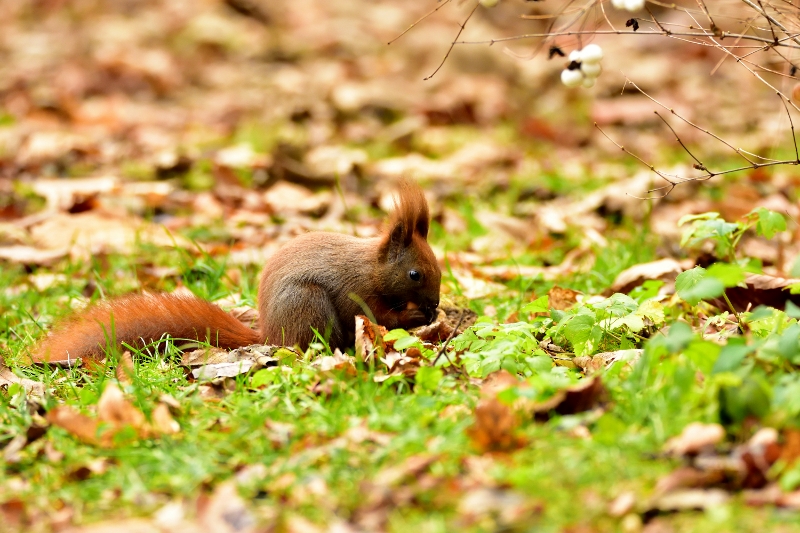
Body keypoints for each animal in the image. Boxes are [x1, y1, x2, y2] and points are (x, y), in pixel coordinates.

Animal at [29, 180, 444, 362]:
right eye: (415, 275)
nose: (436, 304)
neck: (372, 267)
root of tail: (270, 336)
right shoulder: (359, 291)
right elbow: (379, 316)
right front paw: (415, 316)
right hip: (307, 305)